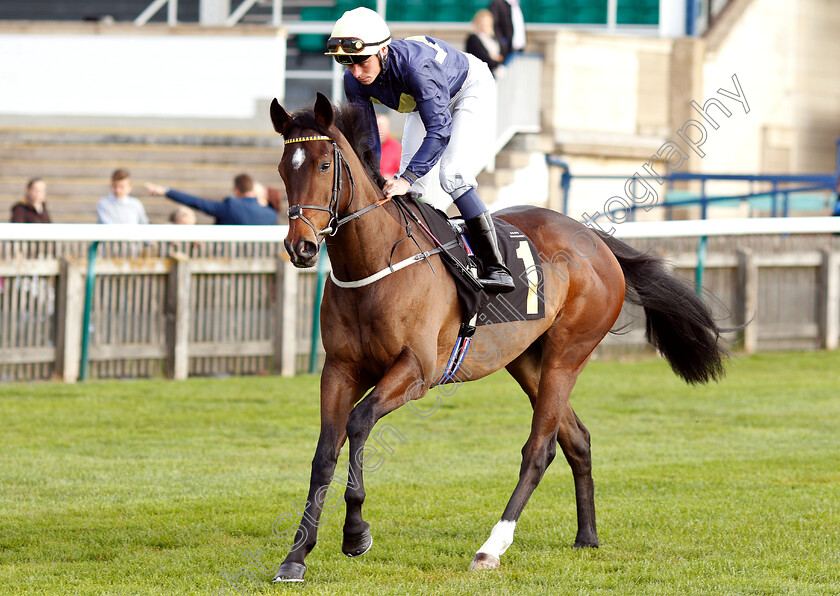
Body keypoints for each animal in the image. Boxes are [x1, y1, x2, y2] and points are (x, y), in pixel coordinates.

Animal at [268, 93, 720, 584]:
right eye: (283, 169)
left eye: (323, 165)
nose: (301, 247)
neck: (375, 265)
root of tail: (595, 239)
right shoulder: (340, 369)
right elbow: (324, 453)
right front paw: (296, 555)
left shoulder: (417, 371)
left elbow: (358, 423)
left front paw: (355, 534)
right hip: (525, 360)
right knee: (577, 439)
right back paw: (587, 536)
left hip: (568, 354)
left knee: (540, 449)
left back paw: (492, 547)